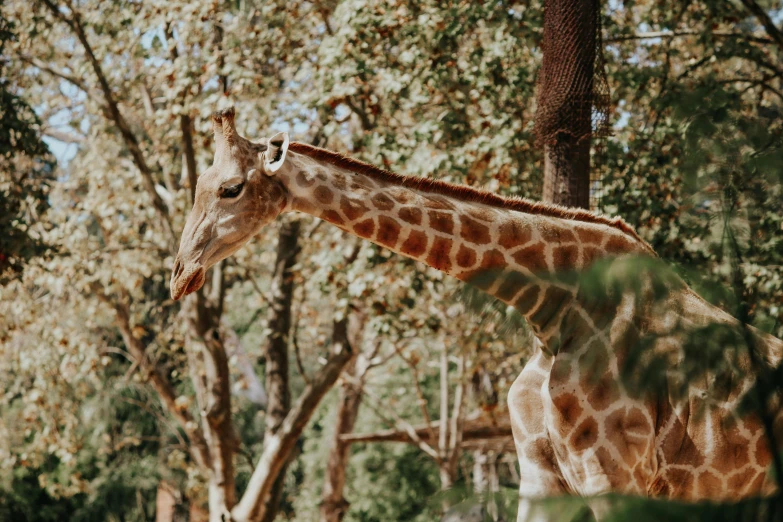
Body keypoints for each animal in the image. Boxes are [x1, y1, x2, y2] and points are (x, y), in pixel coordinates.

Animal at [172, 107, 783, 516]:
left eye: (231, 188)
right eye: (198, 184)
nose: (180, 274)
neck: (551, 312)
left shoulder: (616, 477)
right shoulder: (540, 475)